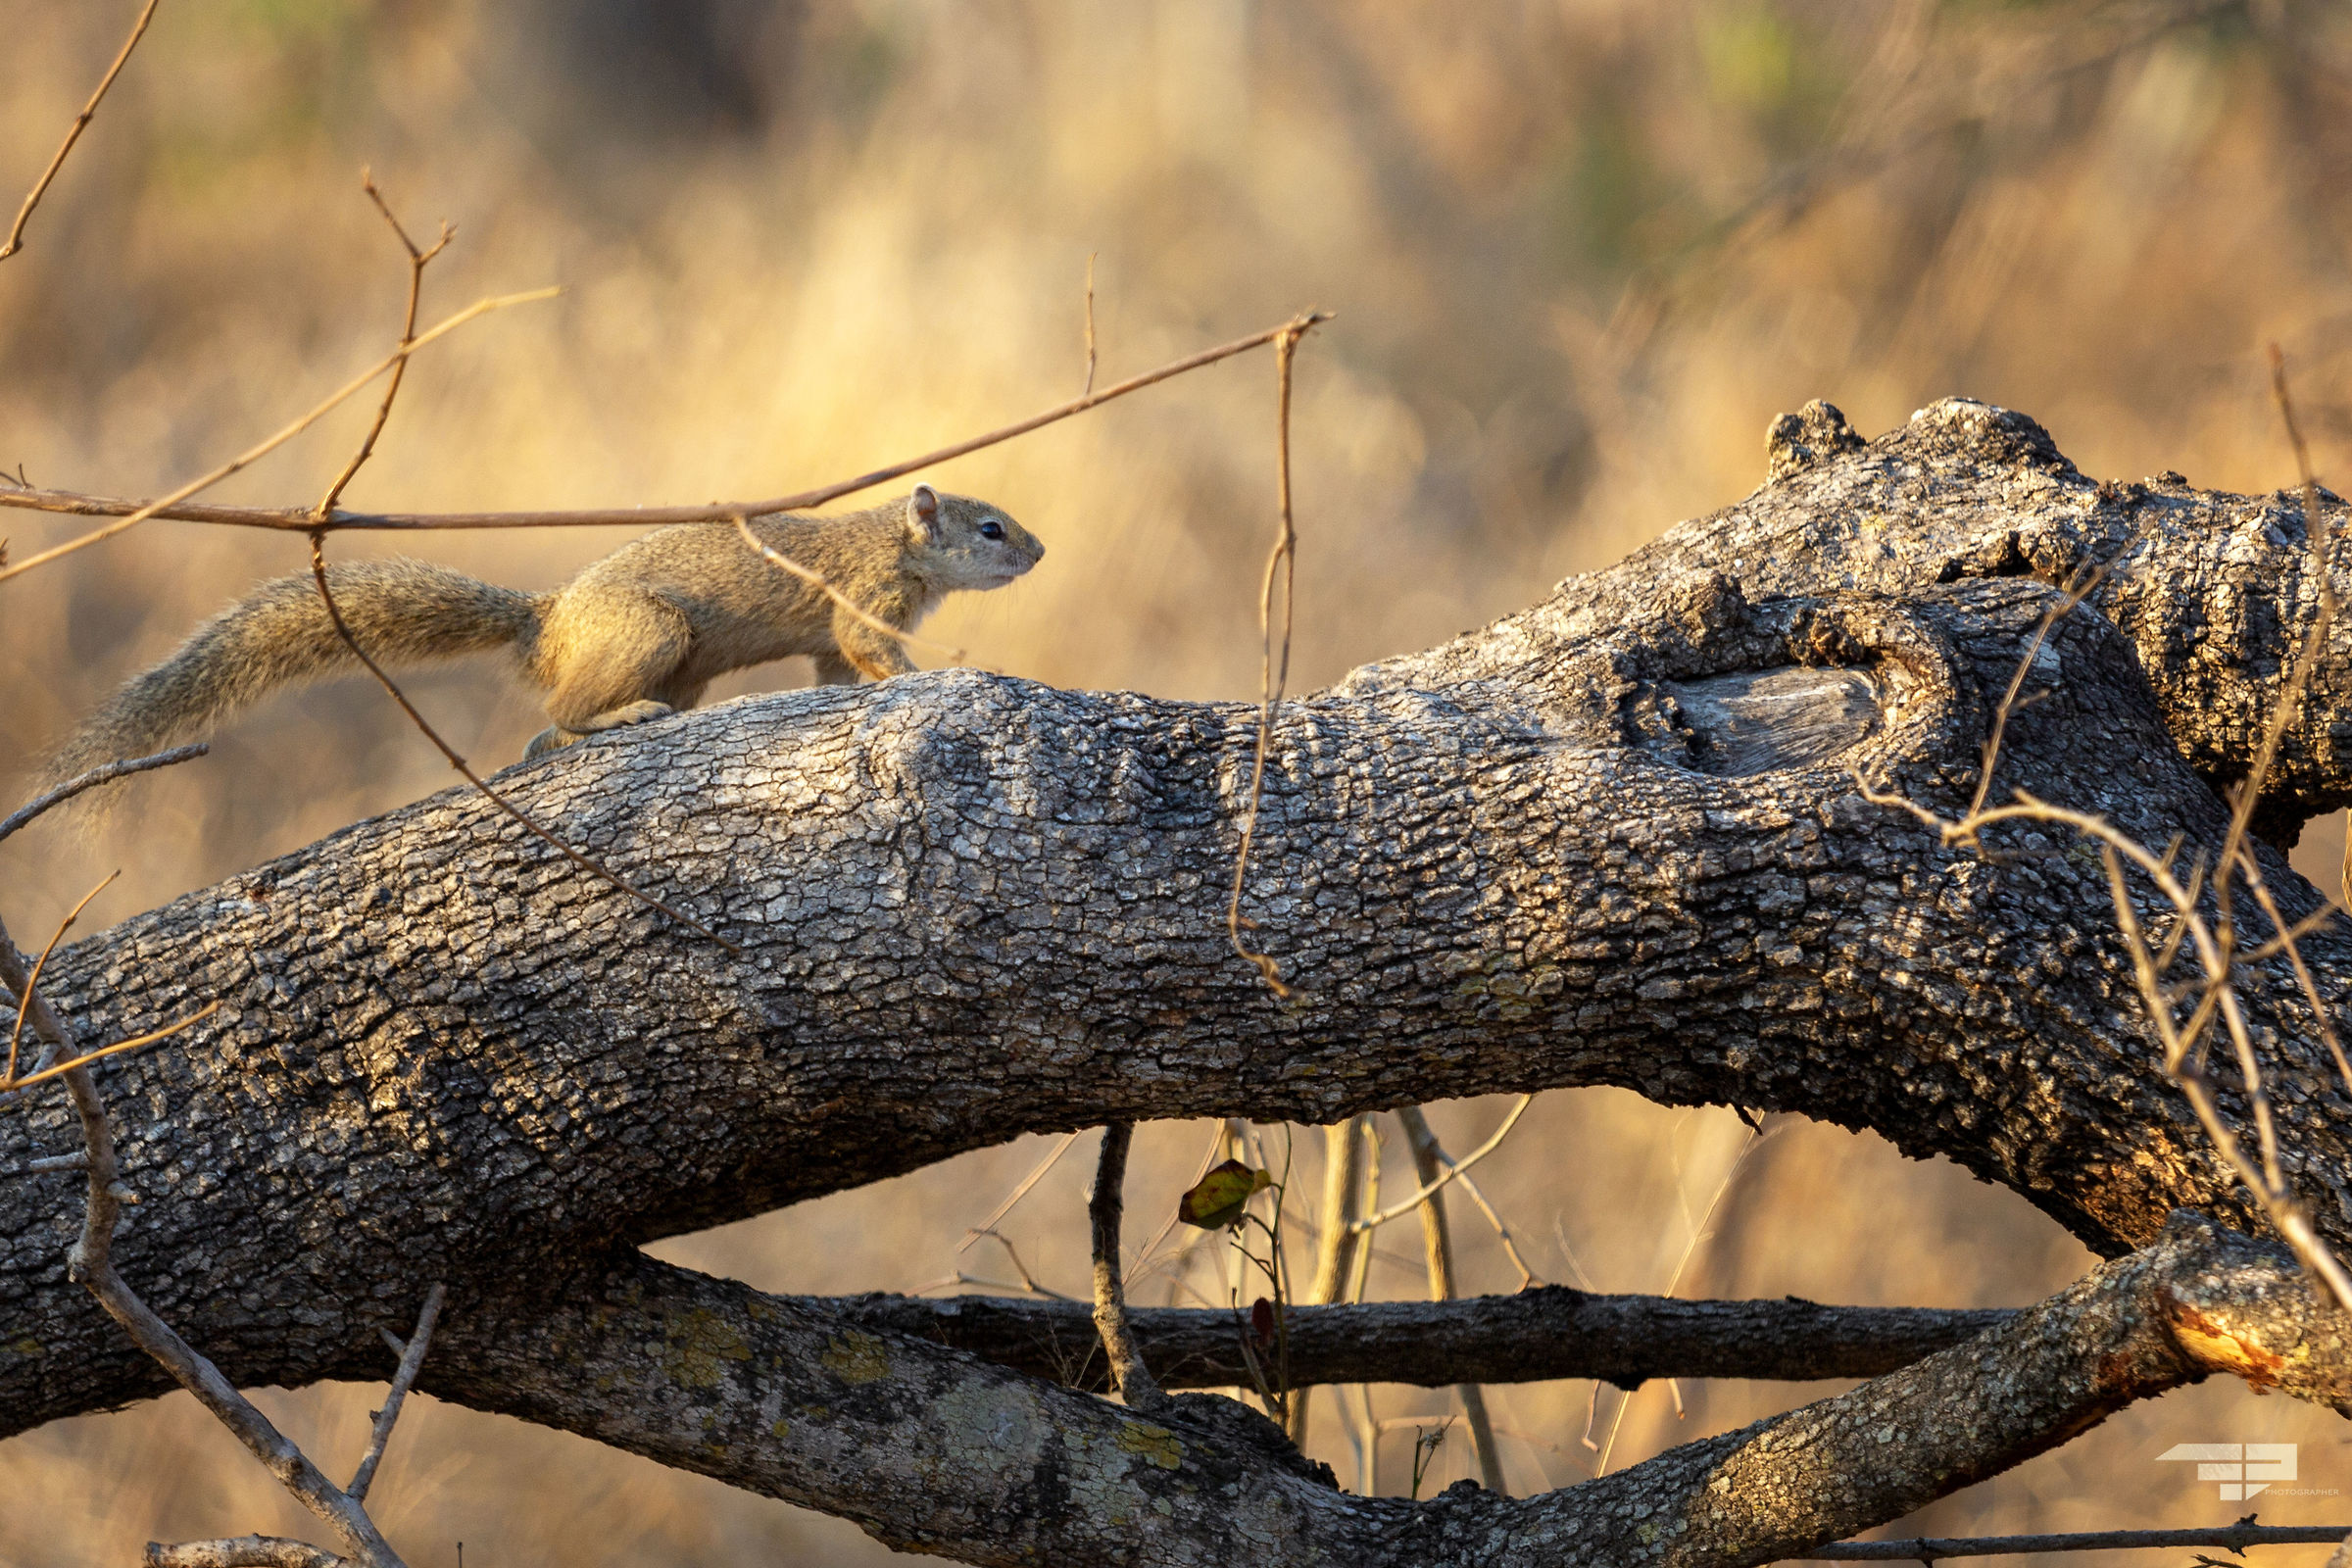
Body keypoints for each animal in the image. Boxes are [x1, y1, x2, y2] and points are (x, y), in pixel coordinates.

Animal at [38, 484, 1039, 789]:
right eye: (990, 528)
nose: (1038, 550)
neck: (895, 542)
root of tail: (545, 627)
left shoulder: (837, 635)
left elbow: (838, 673)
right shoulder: (861, 601)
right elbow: (873, 655)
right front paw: (917, 674)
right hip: (652, 633)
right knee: (562, 713)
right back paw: (615, 718)